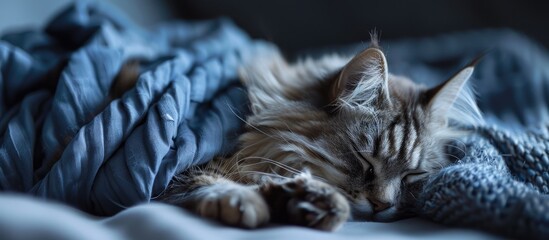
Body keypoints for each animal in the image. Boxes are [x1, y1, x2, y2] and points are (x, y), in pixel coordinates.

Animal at [157, 37, 480, 231]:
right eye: (365, 161)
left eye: (413, 175)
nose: (381, 206)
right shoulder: (174, 167)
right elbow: (207, 178)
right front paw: (244, 200)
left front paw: (307, 200)